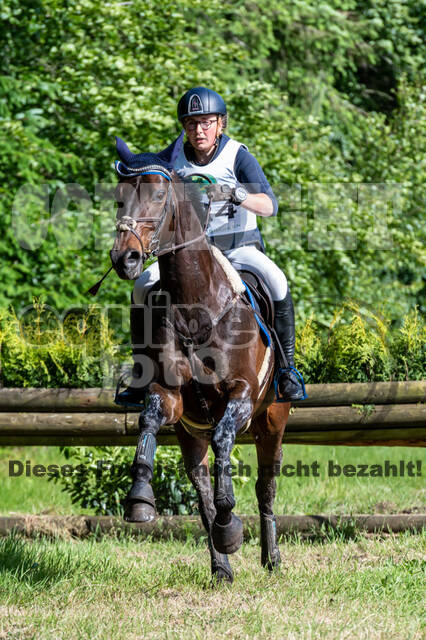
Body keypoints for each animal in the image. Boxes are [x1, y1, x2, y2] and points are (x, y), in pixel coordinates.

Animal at [109, 137, 291, 583]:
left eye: (159, 196)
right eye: (119, 197)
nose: (125, 259)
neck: (196, 306)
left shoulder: (242, 396)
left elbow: (226, 439)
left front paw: (232, 525)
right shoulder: (171, 398)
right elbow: (150, 419)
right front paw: (140, 499)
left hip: (272, 419)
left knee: (266, 486)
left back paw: (271, 557)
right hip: (191, 434)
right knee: (201, 488)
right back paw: (221, 566)